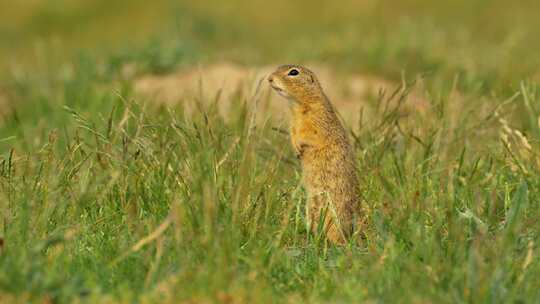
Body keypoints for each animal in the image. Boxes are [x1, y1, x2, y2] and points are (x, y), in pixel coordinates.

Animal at [268, 64, 360, 245]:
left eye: (293, 72)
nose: (269, 78)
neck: (298, 106)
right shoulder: (293, 123)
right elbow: (293, 133)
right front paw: (295, 149)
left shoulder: (317, 121)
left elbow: (310, 135)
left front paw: (299, 147)